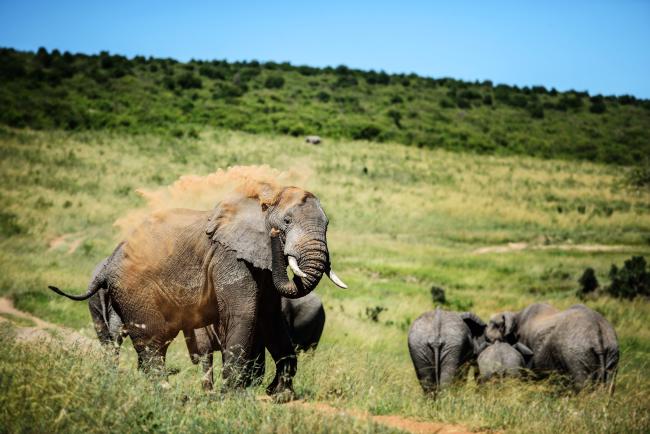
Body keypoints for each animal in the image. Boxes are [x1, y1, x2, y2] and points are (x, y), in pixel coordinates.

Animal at [48, 185, 346, 398]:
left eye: (328, 225)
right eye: (286, 221)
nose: (275, 237)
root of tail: (108, 264)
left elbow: (270, 320)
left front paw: (280, 395)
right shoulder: (229, 258)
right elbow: (243, 314)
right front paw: (232, 396)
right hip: (134, 290)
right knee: (152, 339)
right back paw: (163, 391)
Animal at [486, 302, 616, 390]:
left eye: (493, 325)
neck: (516, 314)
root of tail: (597, 334)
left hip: (576, 354)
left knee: (582, 383)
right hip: (612, 351)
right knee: (609, 383)